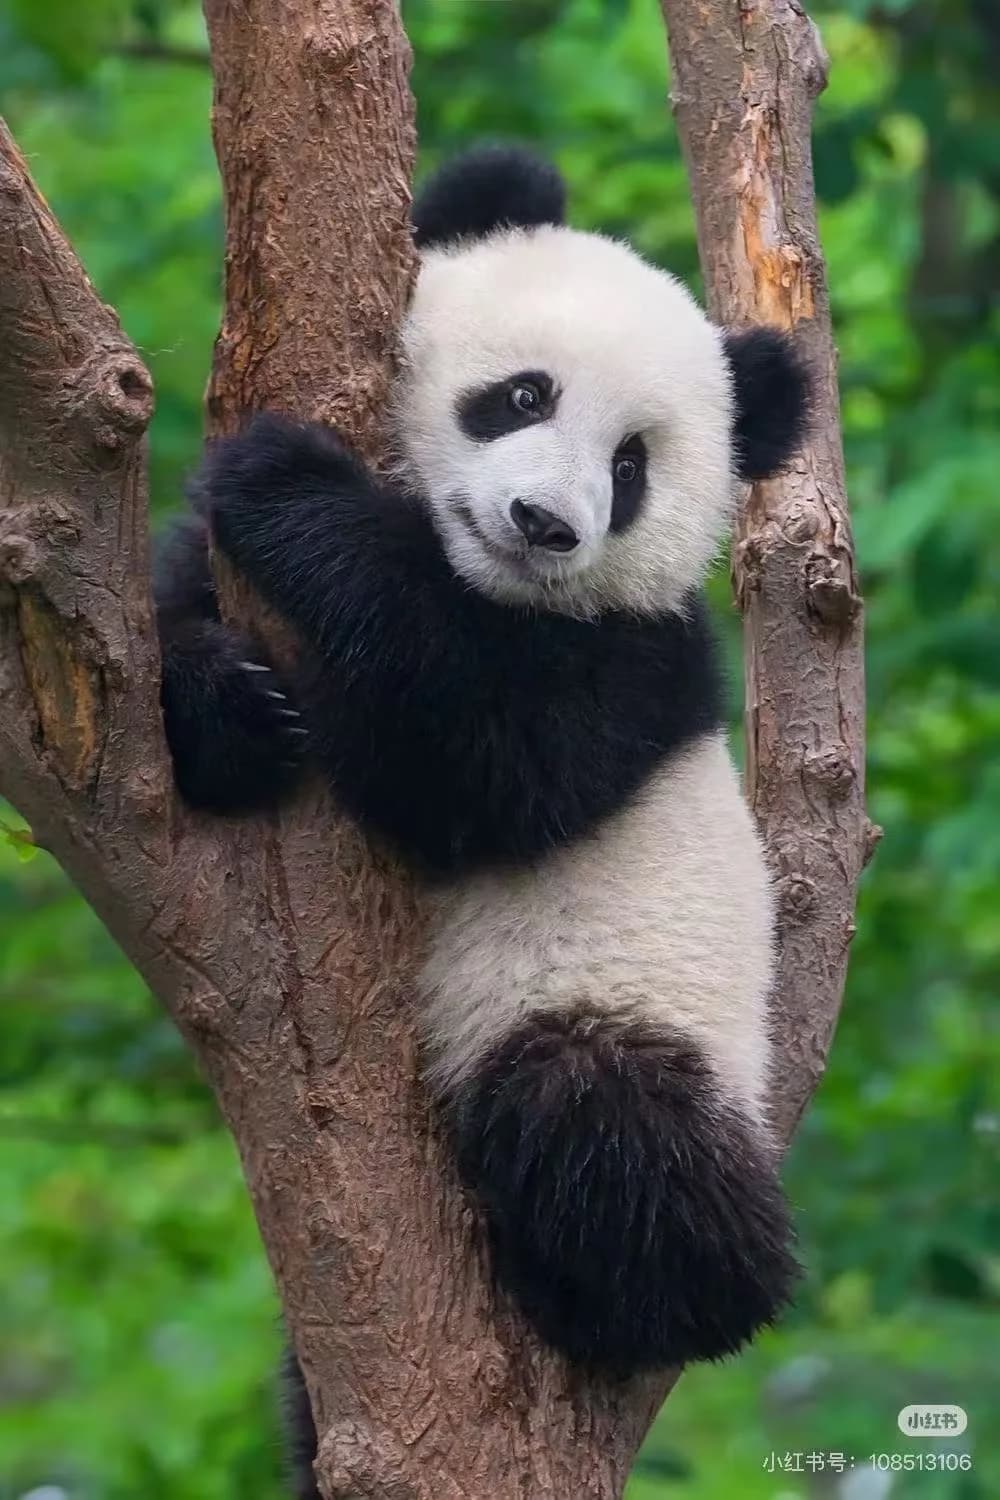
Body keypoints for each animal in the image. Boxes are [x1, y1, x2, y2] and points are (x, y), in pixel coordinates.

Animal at [156, 144, 809, 1423]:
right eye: (521, 397)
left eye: (629, 468)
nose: (545, 523)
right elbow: (163, 626)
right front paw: (231, 710)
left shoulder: (635, 663)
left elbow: (479, 765)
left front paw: (288, 487)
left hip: (631, 1008)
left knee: (607, 1126)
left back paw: (630, 1296)